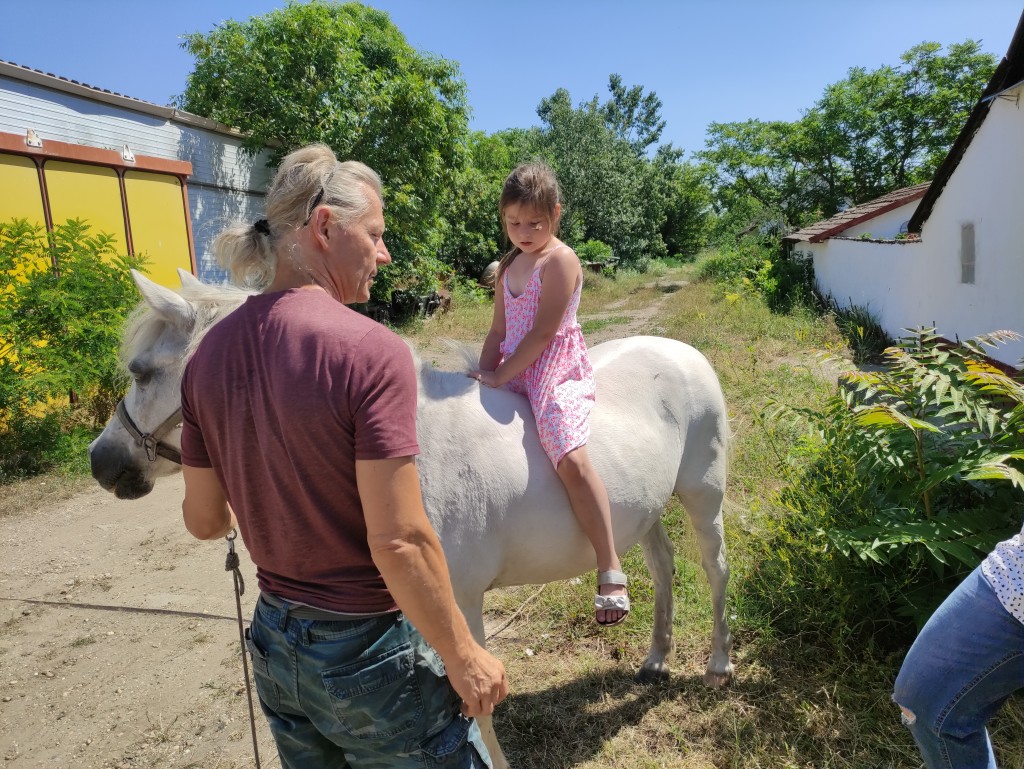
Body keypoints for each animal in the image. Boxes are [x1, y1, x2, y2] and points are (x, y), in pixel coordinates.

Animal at [86, 270, 729, 769]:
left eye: (142, 370)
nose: (102, 461)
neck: (402, 457)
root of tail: (682, 352)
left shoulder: (460, 605)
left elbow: (475, 703)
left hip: (704, 497)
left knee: (714, 571)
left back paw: (717, 666)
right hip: (644, 512)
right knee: (664, 567)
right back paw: (655, 660)